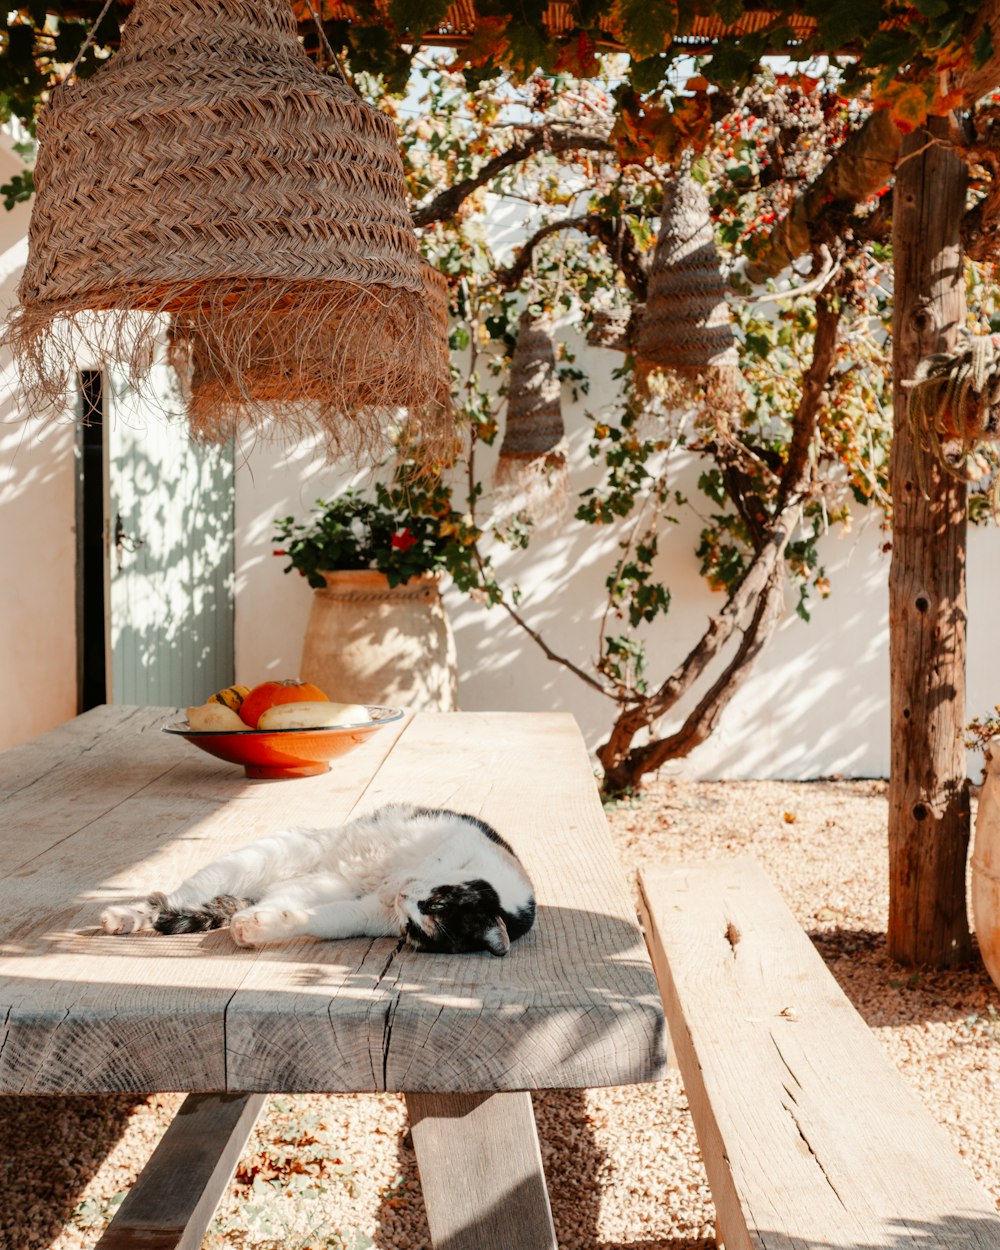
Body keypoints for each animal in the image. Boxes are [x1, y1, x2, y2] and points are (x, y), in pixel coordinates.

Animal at [99, 800, 540, 955]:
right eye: (437, 900)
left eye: (415, 930)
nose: (402, 899)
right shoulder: (454, 844)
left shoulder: (364, 913)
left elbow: (321, 919)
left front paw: (257, 927)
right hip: (259, 857)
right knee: (168, 899)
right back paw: (123, 917)